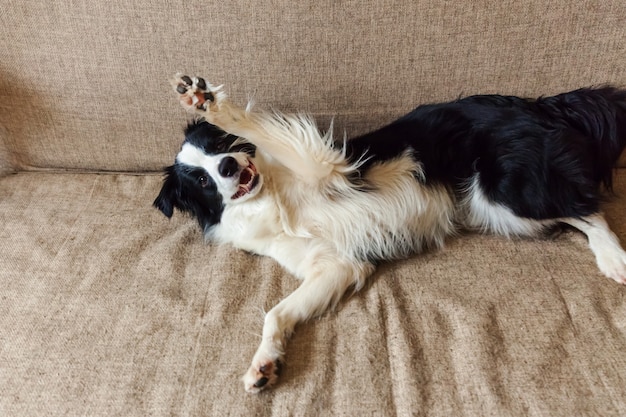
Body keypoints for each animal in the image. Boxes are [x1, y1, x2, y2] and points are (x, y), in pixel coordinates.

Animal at [155, 75, 624, 394]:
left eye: (219, 146)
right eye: (200, 180)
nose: (228, 167)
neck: (270, 197)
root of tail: (541, 104)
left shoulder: (327, 166)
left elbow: (258, 128)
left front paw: (208, 102)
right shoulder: (336, 265)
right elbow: (277, 313)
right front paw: (264, 365)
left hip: (504, 195)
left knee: (588, 208)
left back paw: (614, 259)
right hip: (494, 208)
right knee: (574, 210)